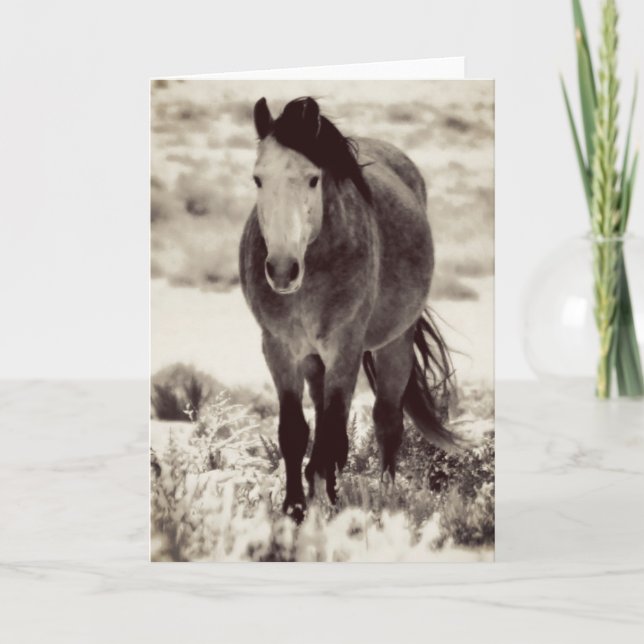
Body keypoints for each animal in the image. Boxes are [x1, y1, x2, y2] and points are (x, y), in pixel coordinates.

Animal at [239, 96, 459, 522]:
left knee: (387, 422)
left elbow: (336, 433)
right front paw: (296, 508)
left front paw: (331, 501)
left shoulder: (346, 348)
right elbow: (295, 431)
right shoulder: (278, 348)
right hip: (314, 361)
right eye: (258, 179)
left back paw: (386, 496)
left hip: (394, 345)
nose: (282, 270)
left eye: (313, 179)